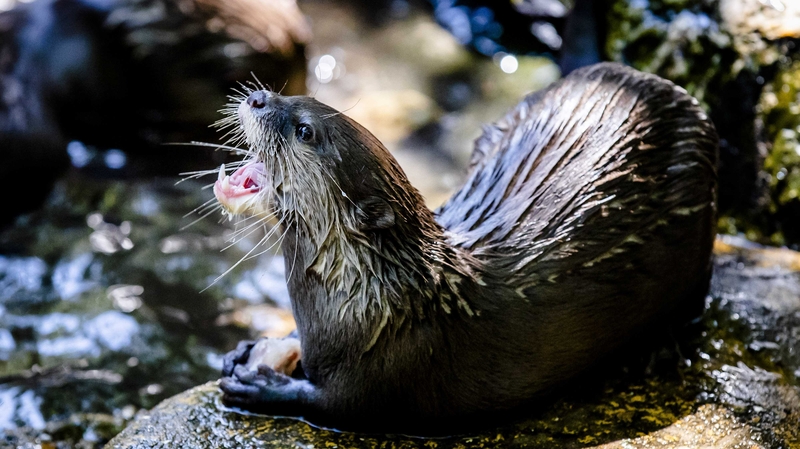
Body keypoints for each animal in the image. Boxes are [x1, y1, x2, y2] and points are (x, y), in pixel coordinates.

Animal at [214, 63, 718, 434]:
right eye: (302, 99)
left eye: (305, 130)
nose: (258, 98)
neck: (378, 303)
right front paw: (255, 348)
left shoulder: (393, 367)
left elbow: (333, 405)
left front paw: (260, 386)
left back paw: (656, 351)